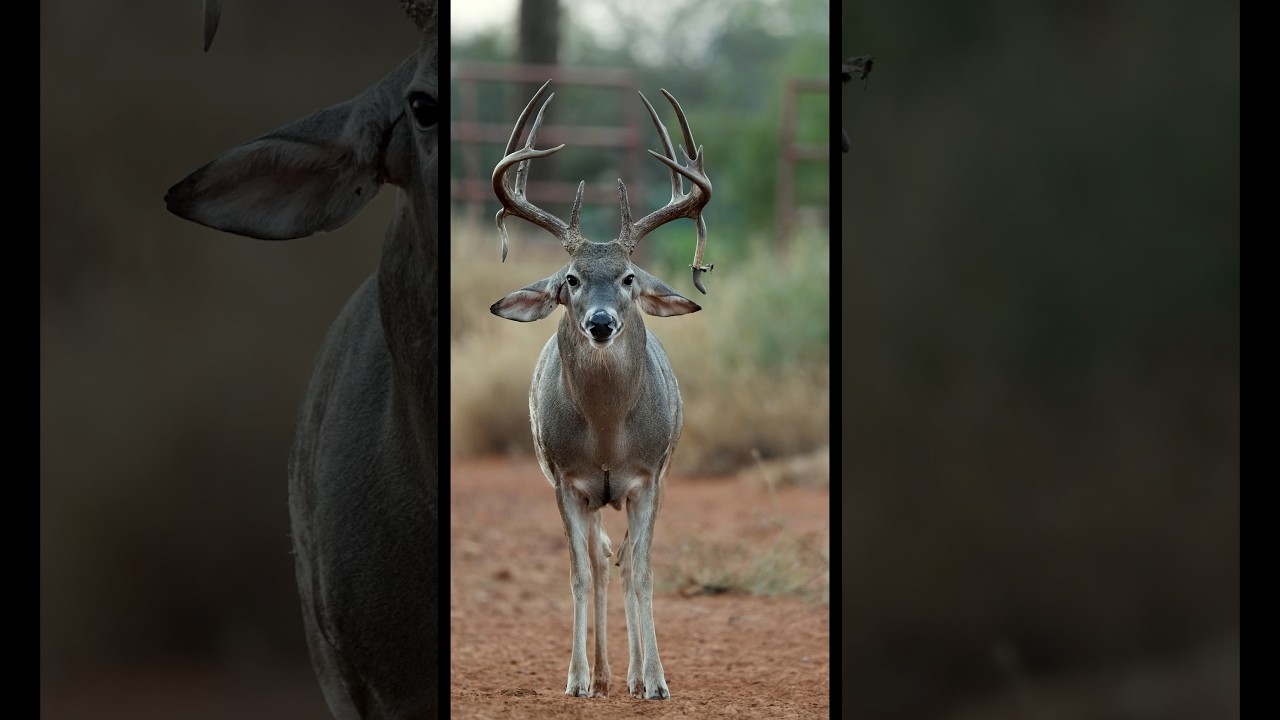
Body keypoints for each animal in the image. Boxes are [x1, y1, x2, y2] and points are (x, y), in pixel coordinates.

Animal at [488, 80, 712, 701]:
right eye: (571, 279)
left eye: (629, 277)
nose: (602, 322)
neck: (609, 436)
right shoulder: (567, 481)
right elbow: (580, 574)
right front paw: (577, 678)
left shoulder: (650, 476)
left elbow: (644, 570)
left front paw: (656, 680)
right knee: (602, 554)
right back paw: (609, 673)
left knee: (626, 558)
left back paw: (632, 675)